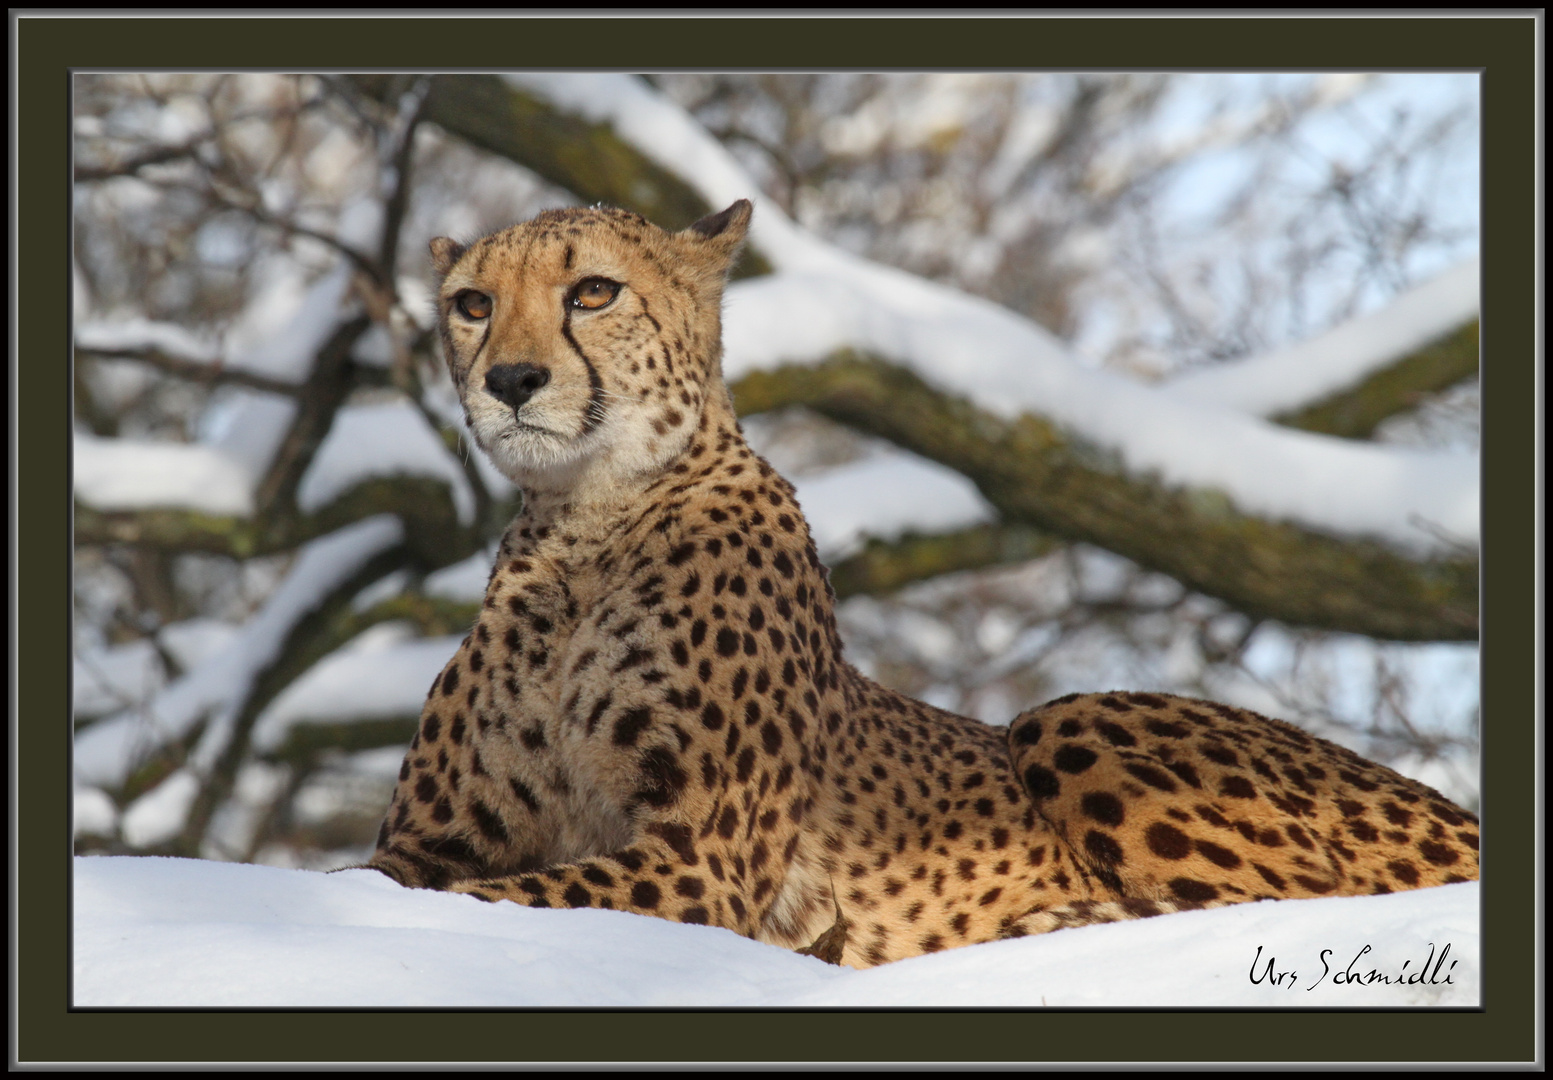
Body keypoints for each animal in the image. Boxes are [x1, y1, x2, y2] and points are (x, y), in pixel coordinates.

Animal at [363, 198, 1478, 969]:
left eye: (592, 291)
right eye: (471, 306)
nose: (510, 380)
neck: (584, 526)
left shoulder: (698, 864)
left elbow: (482, 898)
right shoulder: (434, 837)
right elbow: (381, 880)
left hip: (1067, 718)